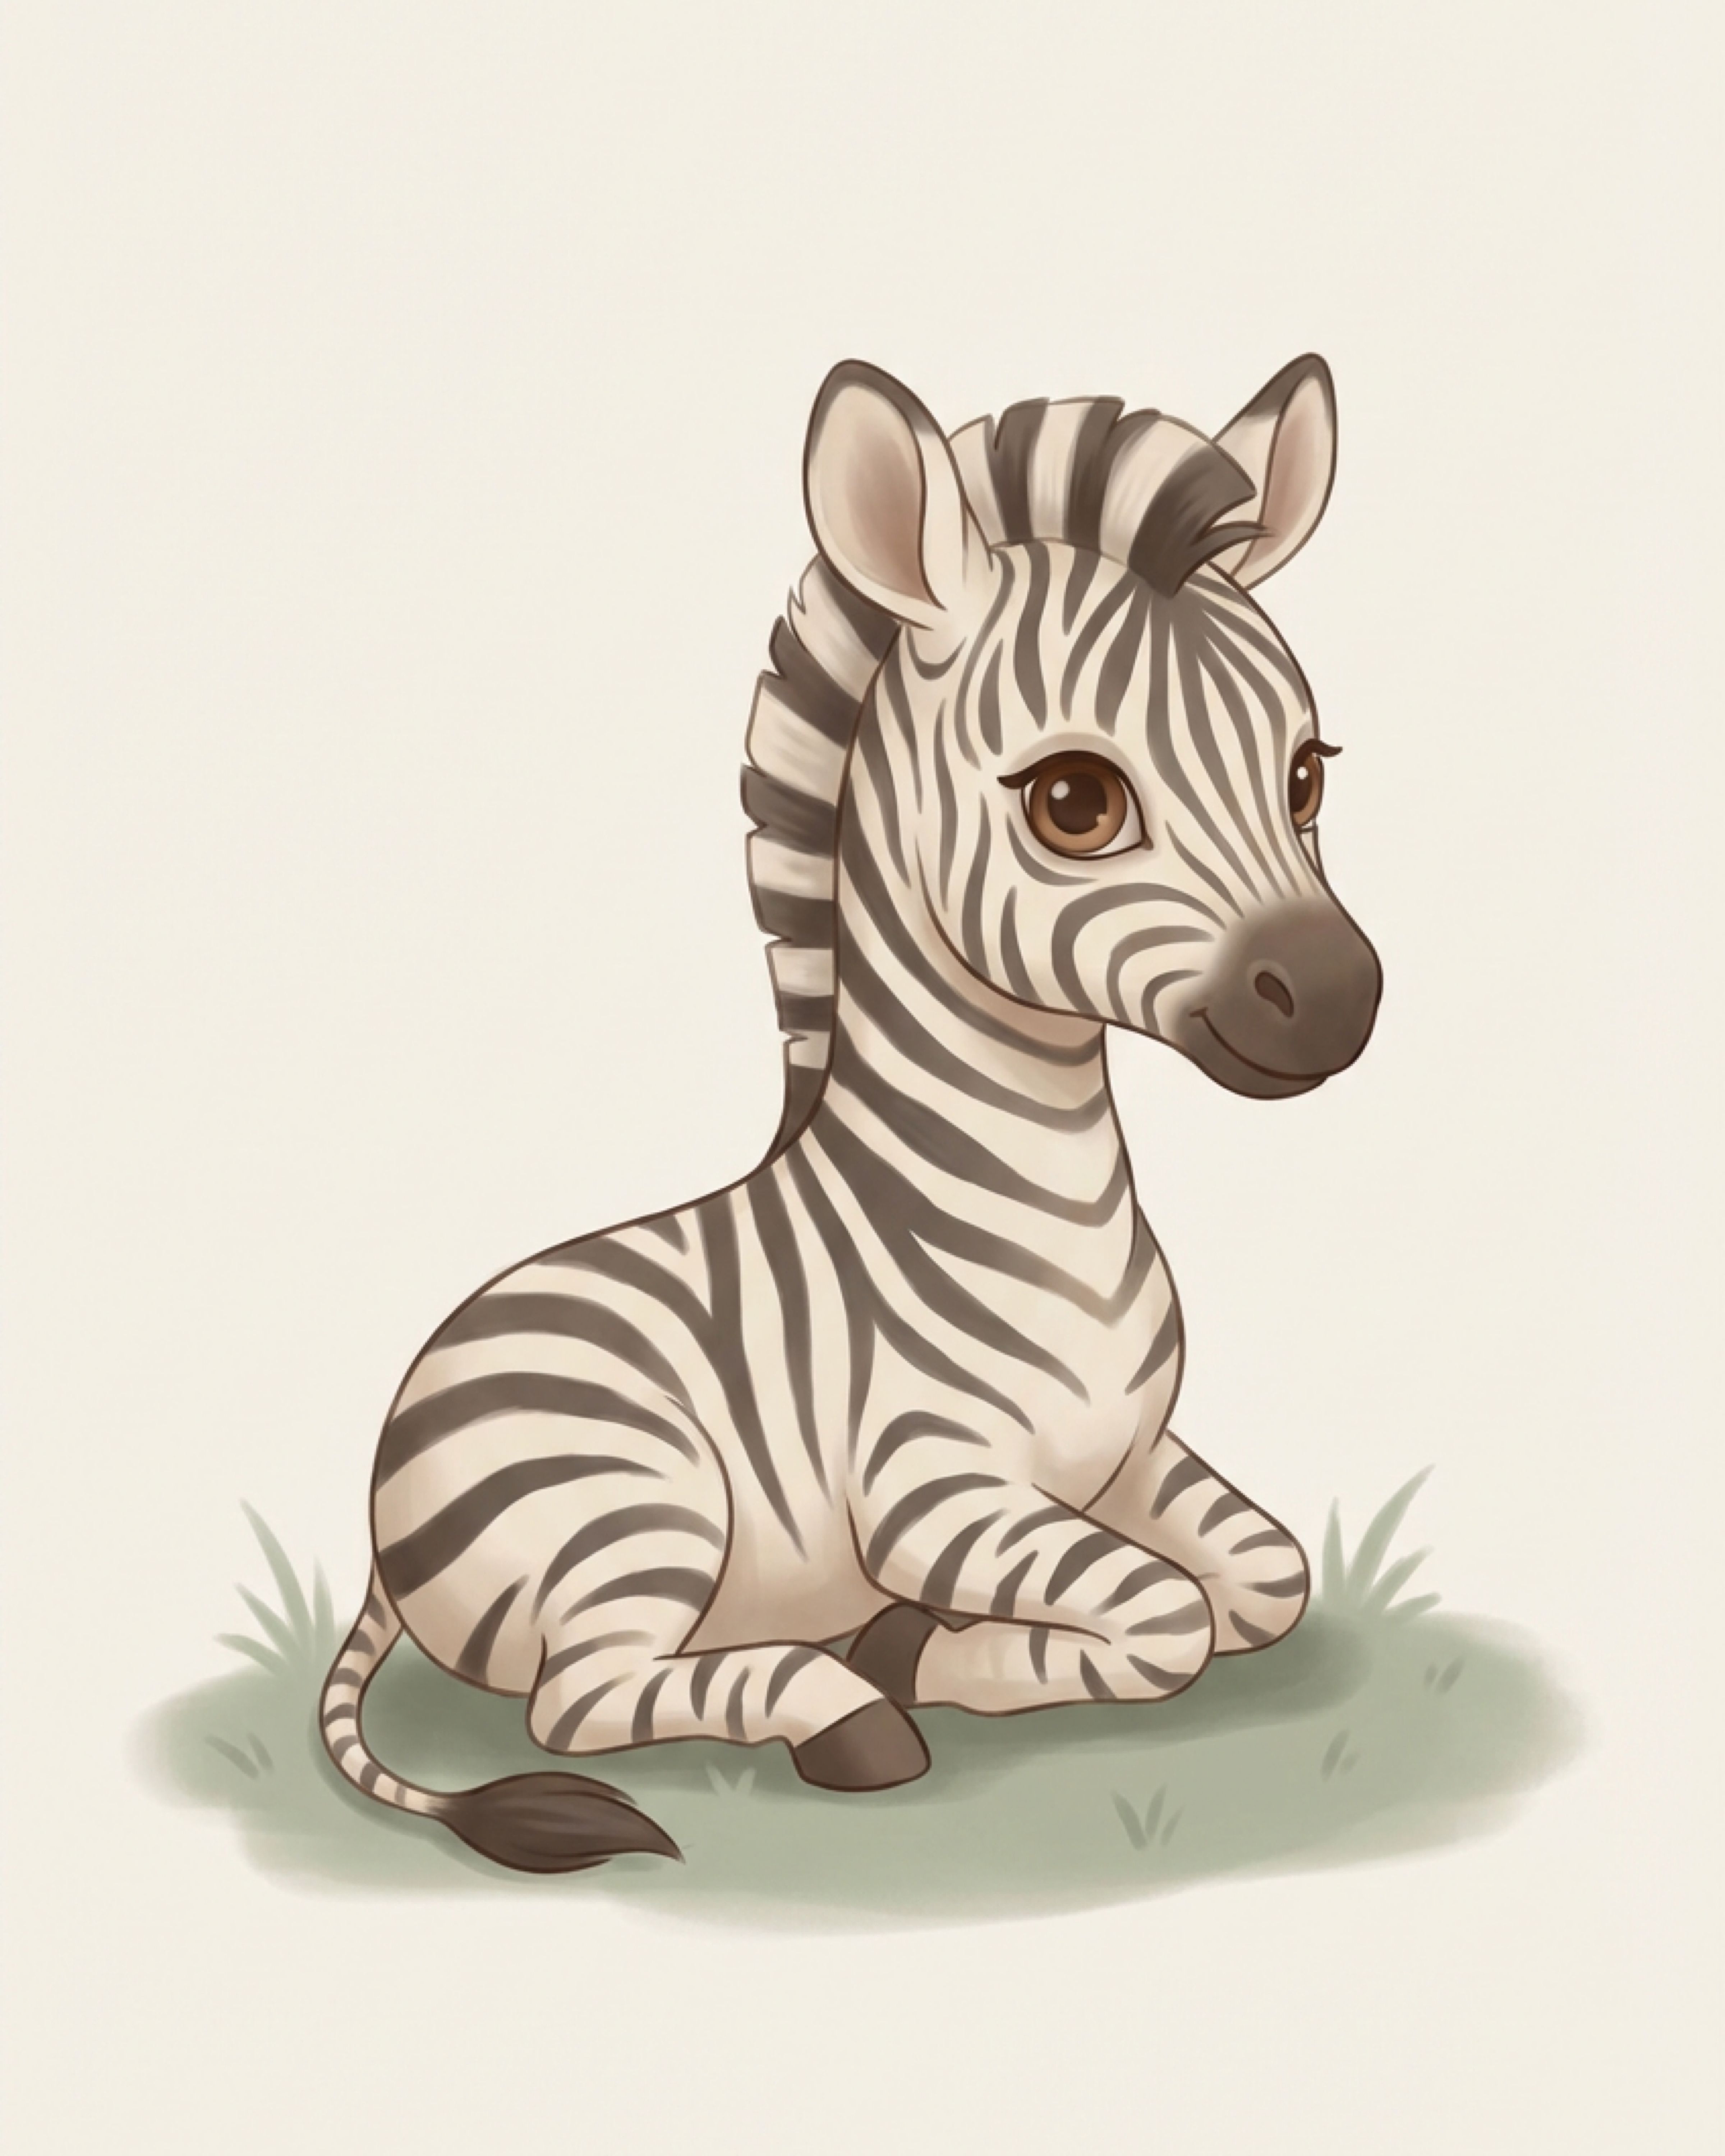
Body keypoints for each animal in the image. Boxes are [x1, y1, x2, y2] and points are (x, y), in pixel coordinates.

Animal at [319, 354, 1382, 1872]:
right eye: (1073, 801)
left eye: (1305, 775)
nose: (1340, 1001)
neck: (1046, 1214)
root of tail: (397, 1431)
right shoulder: (931, 1494)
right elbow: (1168, 1614)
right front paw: (928, 1652)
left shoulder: (1126, 1459)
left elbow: (1263, 1573)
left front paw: (954, 1645)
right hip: (637, 1502)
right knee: (579, 1702)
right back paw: (846, 1713)